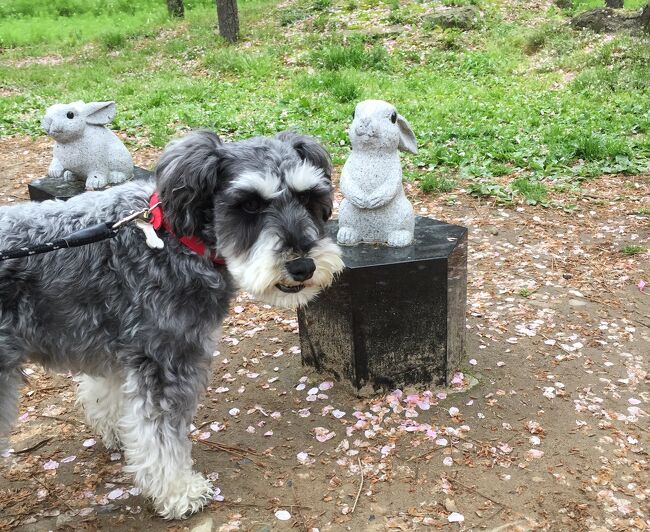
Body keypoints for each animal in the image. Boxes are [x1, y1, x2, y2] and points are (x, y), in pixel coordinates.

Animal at [0, 130, 344, 520]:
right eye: (250, 206)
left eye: (308, 197)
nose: (303, 266)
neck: (175, 237)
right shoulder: (166, 360)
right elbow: (161, 437)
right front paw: (179, 492)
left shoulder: (121, 350)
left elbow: (111, 396)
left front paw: (117, 431)